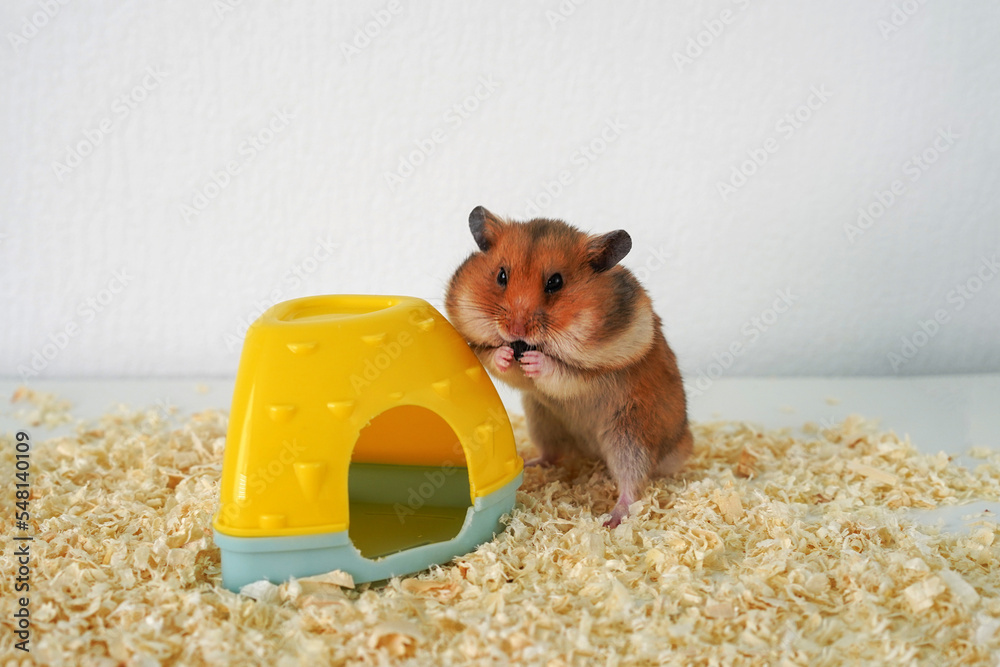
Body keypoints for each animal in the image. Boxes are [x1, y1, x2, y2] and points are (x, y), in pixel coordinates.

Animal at [448, 206, 692, 528]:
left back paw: (611, 520)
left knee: (633, 484)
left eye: (555, 282)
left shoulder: (600, 370)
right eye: (501, 275)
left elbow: (562, 373)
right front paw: (505, 354)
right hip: (543, 420)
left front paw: (535, 361)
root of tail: (680, 446)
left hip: (631, 436)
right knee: (554, 454)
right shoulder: (489, 354)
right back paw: (531, 463)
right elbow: (493, 358)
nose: (515, 330)